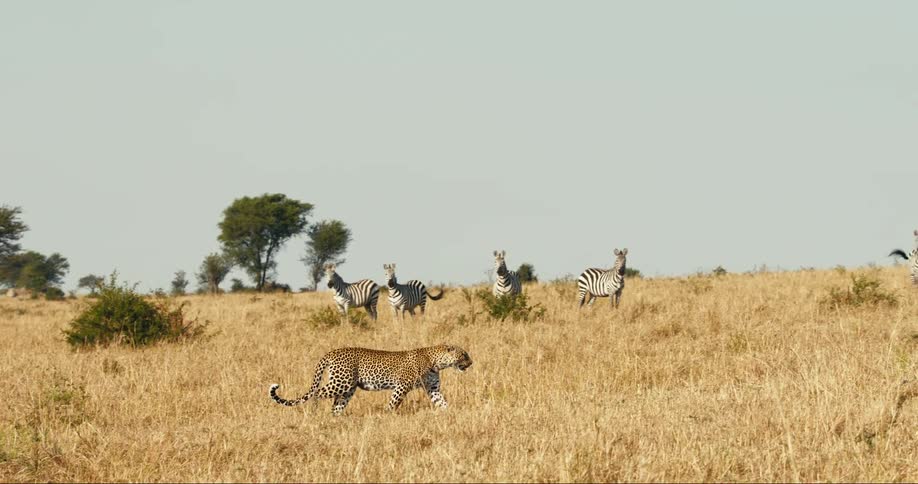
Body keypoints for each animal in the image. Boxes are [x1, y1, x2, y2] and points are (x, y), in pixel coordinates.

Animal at [269, 344, 472, 415]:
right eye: (464, 355)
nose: (471, 363)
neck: (437, 362)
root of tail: (332, 352)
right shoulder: (402, 386)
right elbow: (393, 403)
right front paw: (386, 416)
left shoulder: (433, 388)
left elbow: (442, 402)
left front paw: (452, 414)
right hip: (340, 382)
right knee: (316, 393)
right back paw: (313, 412)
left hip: (348, 388)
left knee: (337, 404)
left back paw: (335, 419)